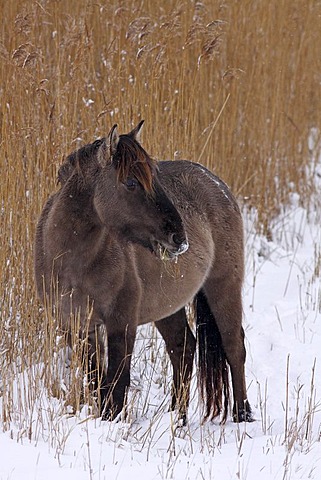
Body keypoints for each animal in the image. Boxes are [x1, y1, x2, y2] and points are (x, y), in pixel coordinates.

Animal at [34, 121, 252, 424]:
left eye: (156, 178)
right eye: (130, 182)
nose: (178, 237)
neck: (73, 263)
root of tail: (218, 185)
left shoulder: (121, 324)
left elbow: (115, 385)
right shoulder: (78, 327)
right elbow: (97, 380)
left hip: (224, 286)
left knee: (233, 347)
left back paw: (242, 414)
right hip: (168, 304)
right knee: (183, 348)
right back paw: (177, 419)